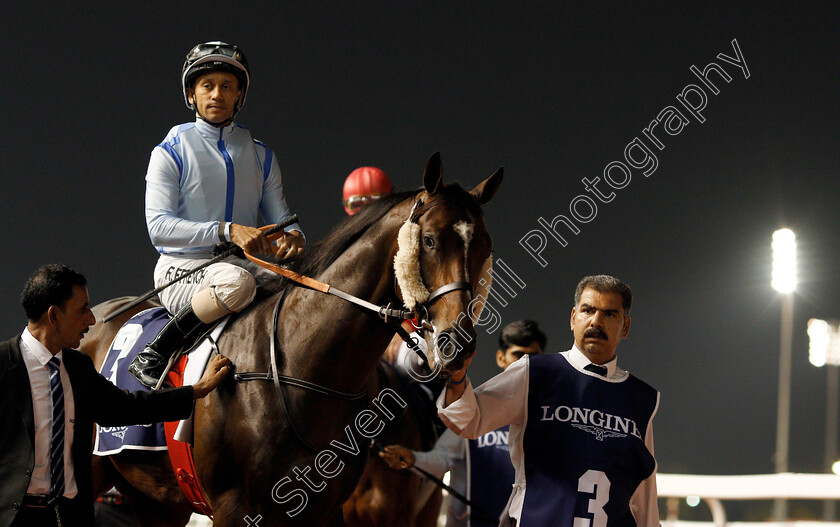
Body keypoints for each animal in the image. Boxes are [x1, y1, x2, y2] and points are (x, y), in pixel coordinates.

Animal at [80, 154, 498, 527]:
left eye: (484, 246)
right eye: (428, 240)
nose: (457, 343)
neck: (300, 370)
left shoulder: (327, 510)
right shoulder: (235, 508)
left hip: (156, 498)